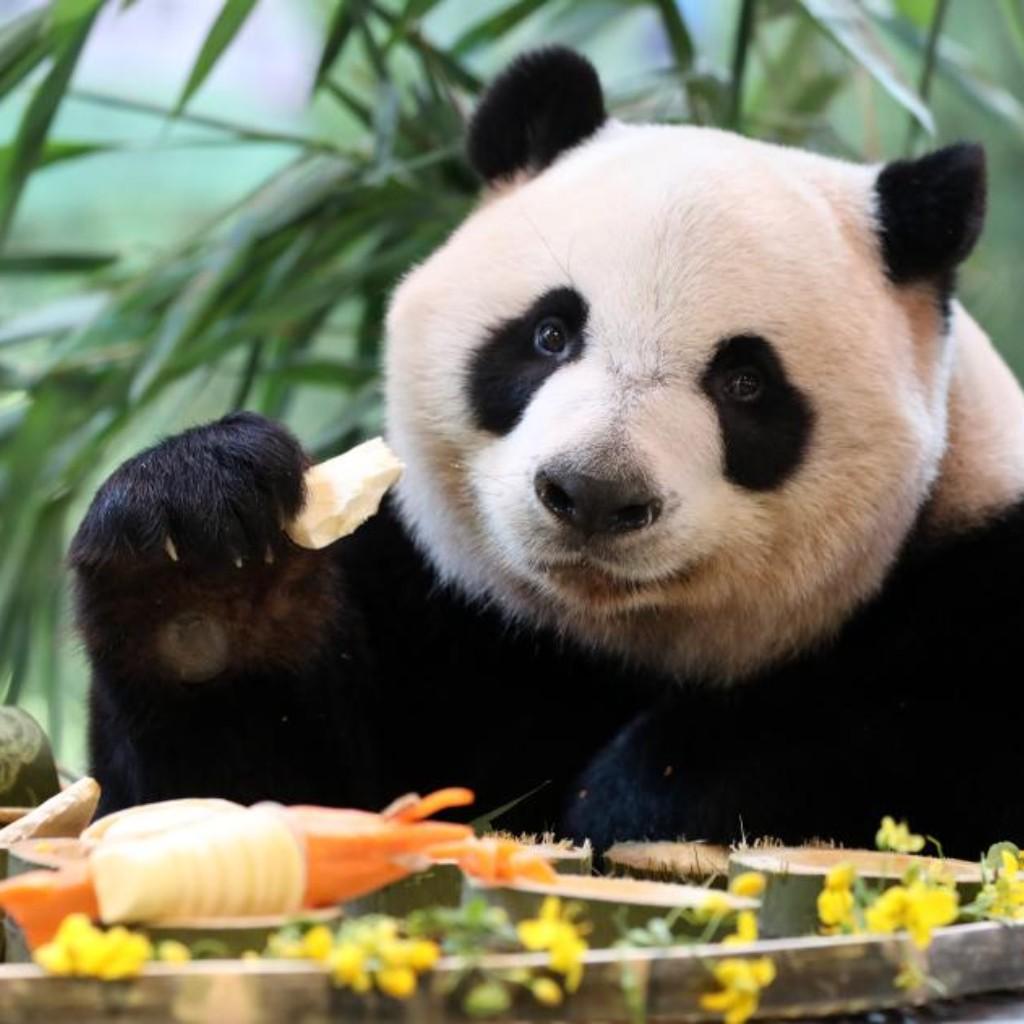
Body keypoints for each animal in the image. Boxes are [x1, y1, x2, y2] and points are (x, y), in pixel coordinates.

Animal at [70, 47, 1024, 858]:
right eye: (549, 334)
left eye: (747, 383)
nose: (595, 493)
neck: (605, 642)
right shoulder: (435, 596)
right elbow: (252, 792)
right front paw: (204, 561)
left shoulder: (973, 575)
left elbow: (904, 724)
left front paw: (637, 793)